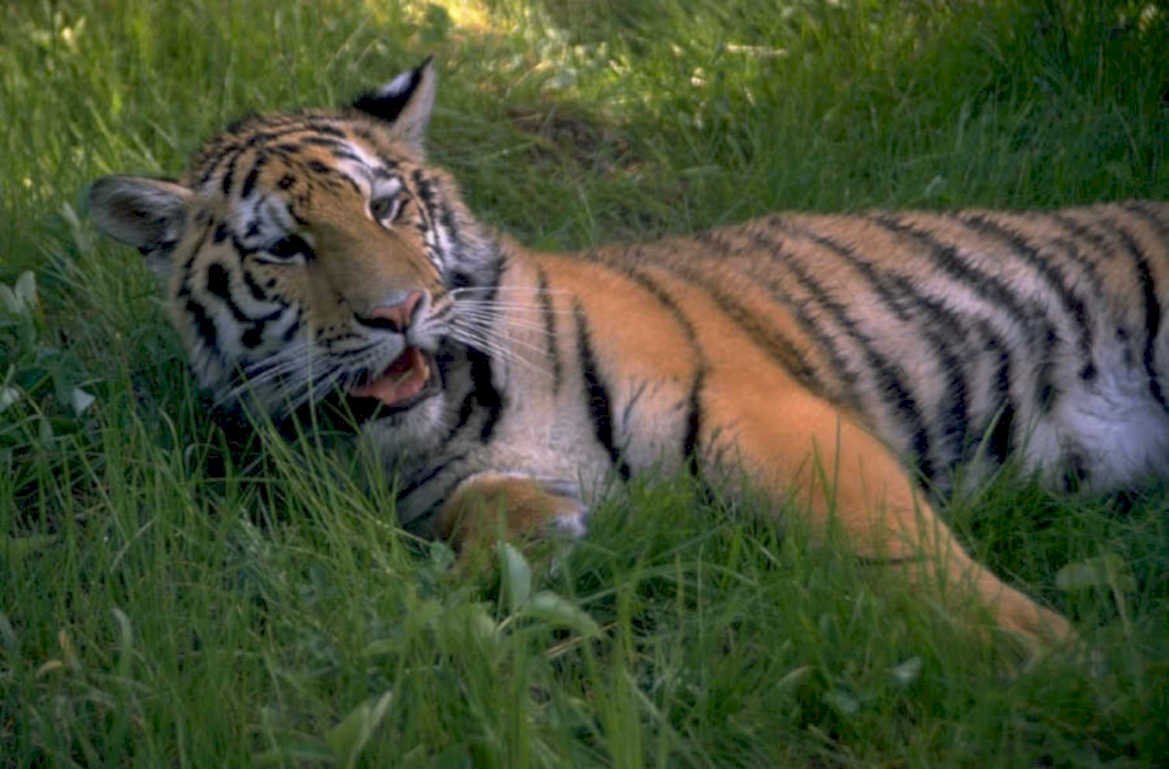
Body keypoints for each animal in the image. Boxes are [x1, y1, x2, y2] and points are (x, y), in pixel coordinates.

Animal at [88, 58, 1169, 648]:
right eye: (283, 250)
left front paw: (1052, 656)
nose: (401, 312)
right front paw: (536, 522)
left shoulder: (760, 409)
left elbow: (904, 553)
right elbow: (473, 515)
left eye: (386, 206)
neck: (467, 409)